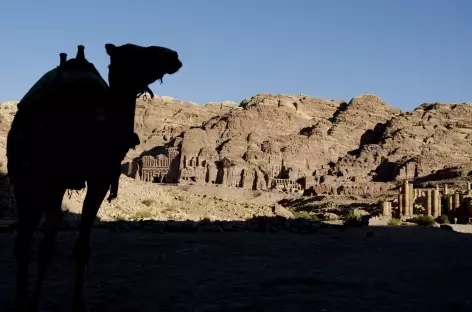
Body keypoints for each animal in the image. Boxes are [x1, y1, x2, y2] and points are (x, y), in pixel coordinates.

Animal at [6, 42, 183, 310]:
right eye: (135, 52)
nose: (173, 56)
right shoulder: (75, 179)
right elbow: (57, 246)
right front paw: (49, 301)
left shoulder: (91, 180)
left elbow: (75, 246)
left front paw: (72, 301)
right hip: (37, 178)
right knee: (30, 241)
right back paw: (24, 298)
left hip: (31, 180)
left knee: (28, 238)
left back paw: (24, 297)